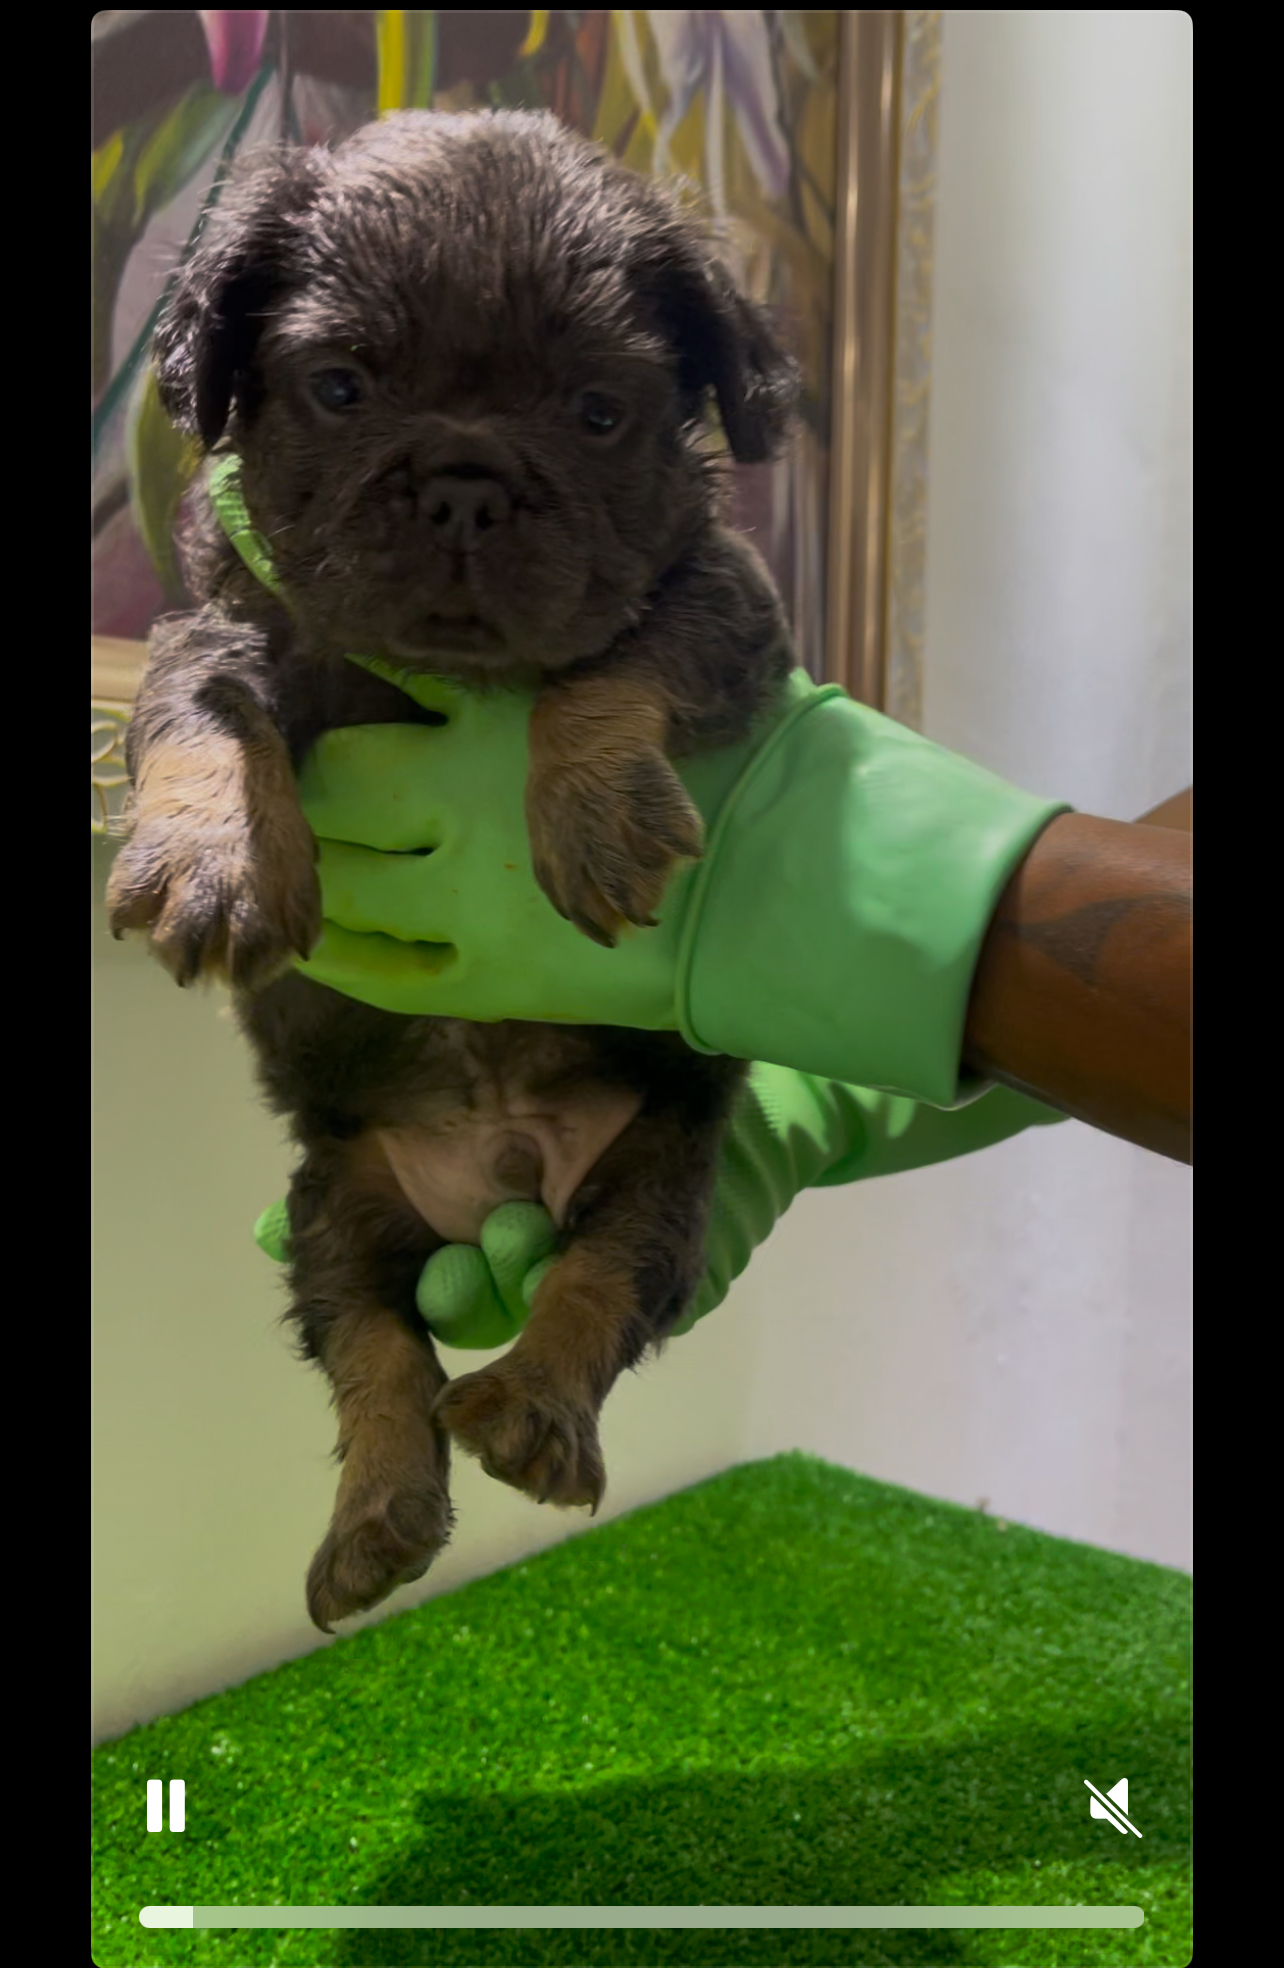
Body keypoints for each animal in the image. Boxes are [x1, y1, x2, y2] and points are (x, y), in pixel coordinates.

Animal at [105, 115, 795, 1637]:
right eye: (340, 388)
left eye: (597, 414)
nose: (468, 481)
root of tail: (501, 1176)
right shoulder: (223, 622)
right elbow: (204, 709)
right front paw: (207, 856)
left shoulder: (725, 596)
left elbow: (613, 664)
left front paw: (590, 813)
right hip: (334, 1213)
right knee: (377, 1358)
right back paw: (375, 1523)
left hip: (663, 1176)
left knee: (596, 1284)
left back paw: (533, 1418)